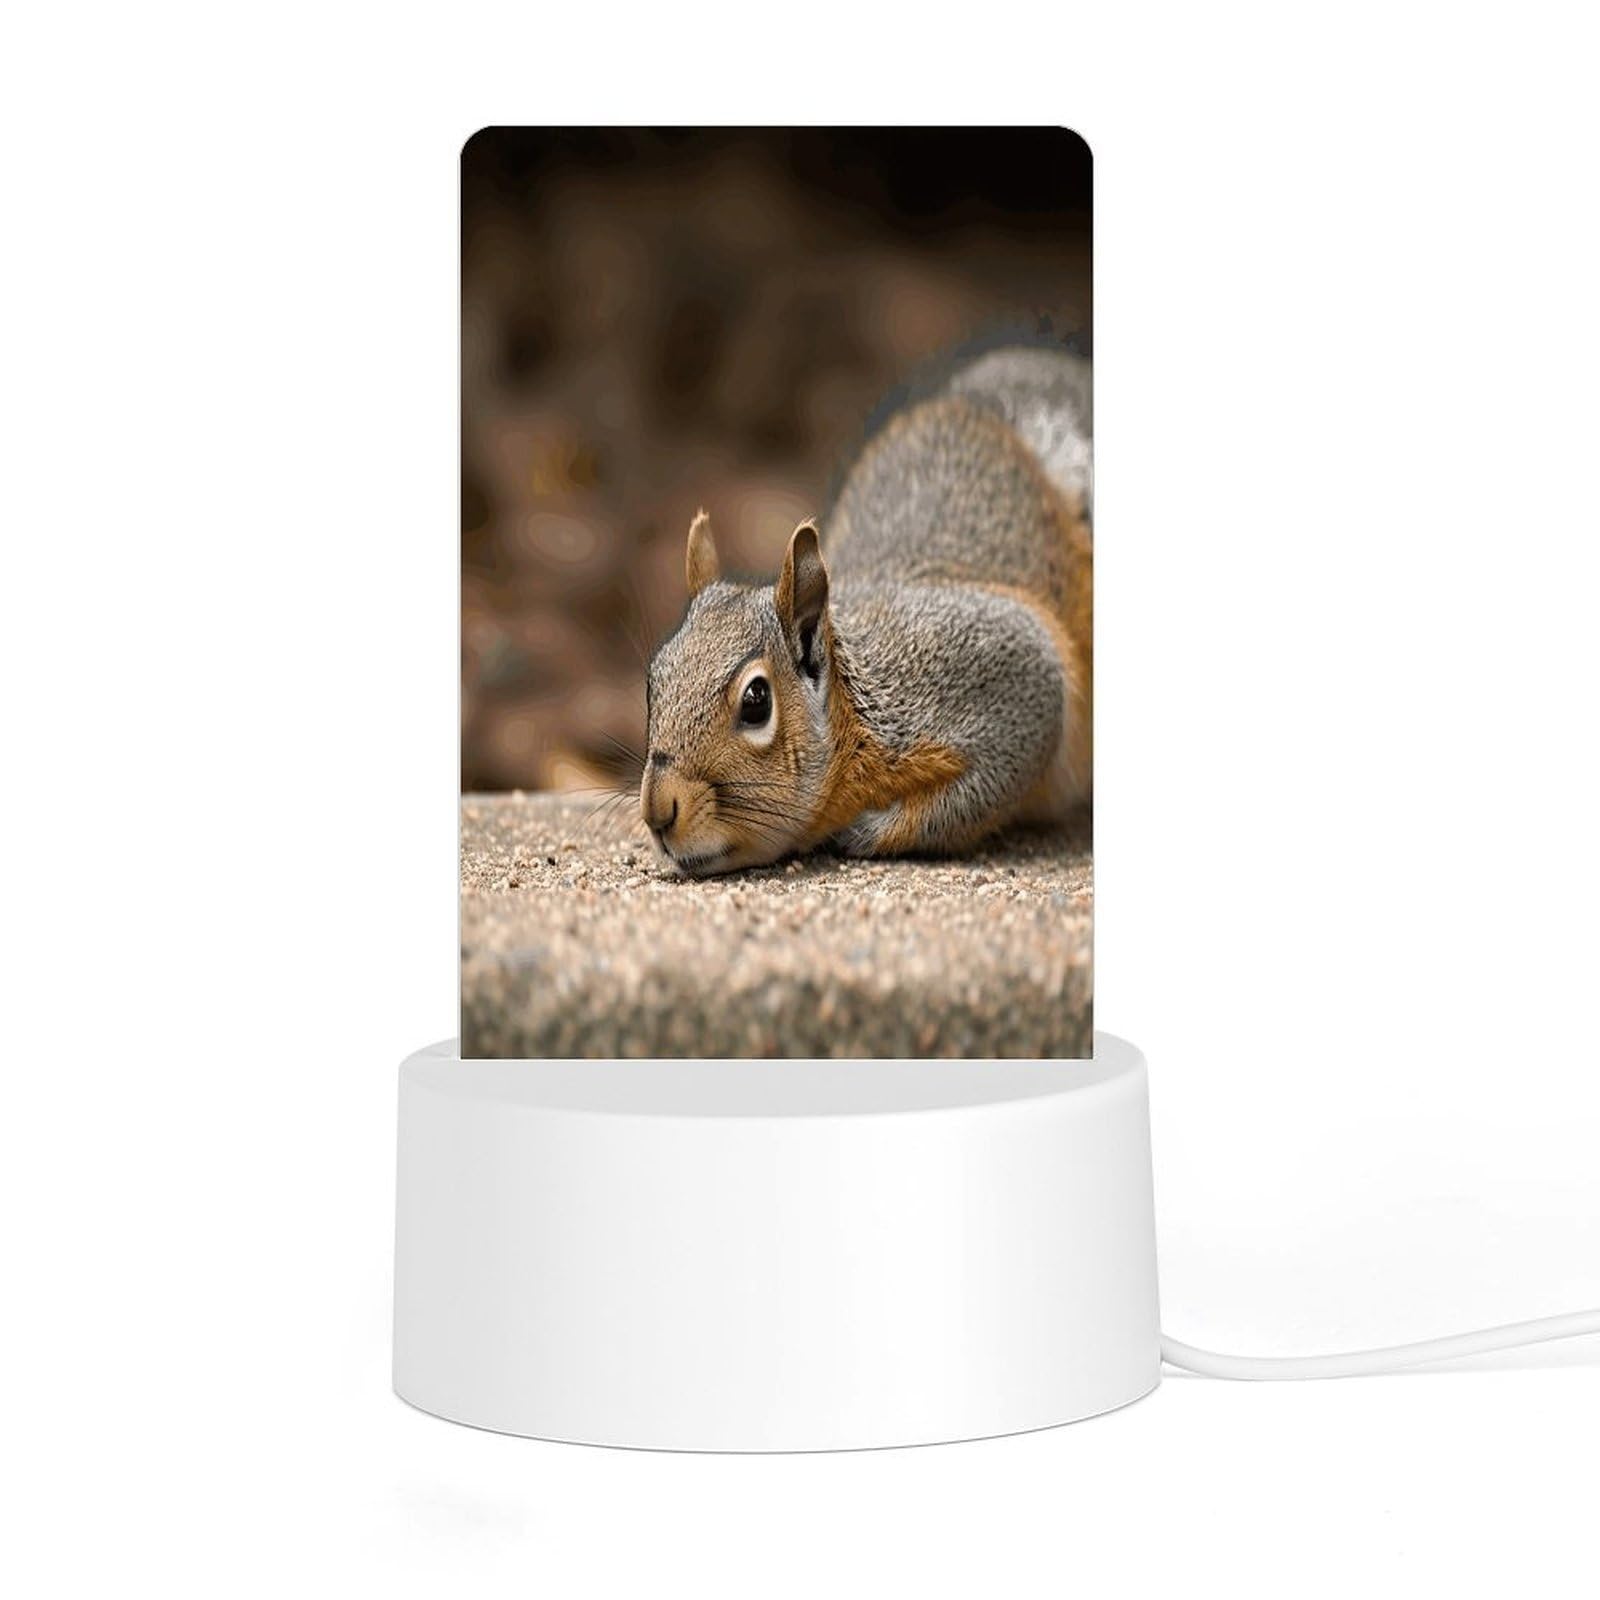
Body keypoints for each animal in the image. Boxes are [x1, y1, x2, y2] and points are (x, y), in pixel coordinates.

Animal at [641, 344, 1092, 876]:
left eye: (756, 701)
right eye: (652, 683)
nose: (657, 811)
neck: (854, 714)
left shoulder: (1000, 669)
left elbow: (978, 795)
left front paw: (865, 831)